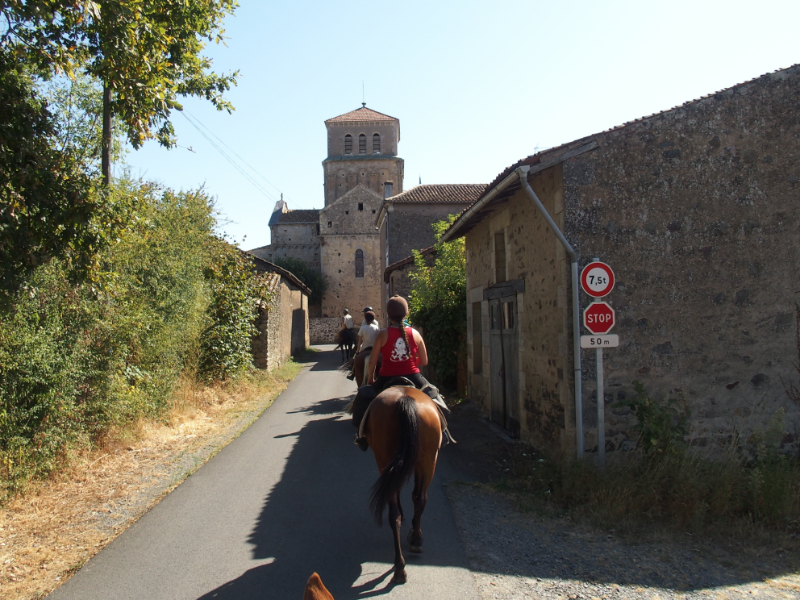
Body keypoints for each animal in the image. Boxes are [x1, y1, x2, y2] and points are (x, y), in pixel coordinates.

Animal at [364, 384, 444, 580]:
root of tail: (404, 400)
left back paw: (401, 564)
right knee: (419, 499)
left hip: (395, 461)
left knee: (401, 509)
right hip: (428, 461)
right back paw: (410, 549)